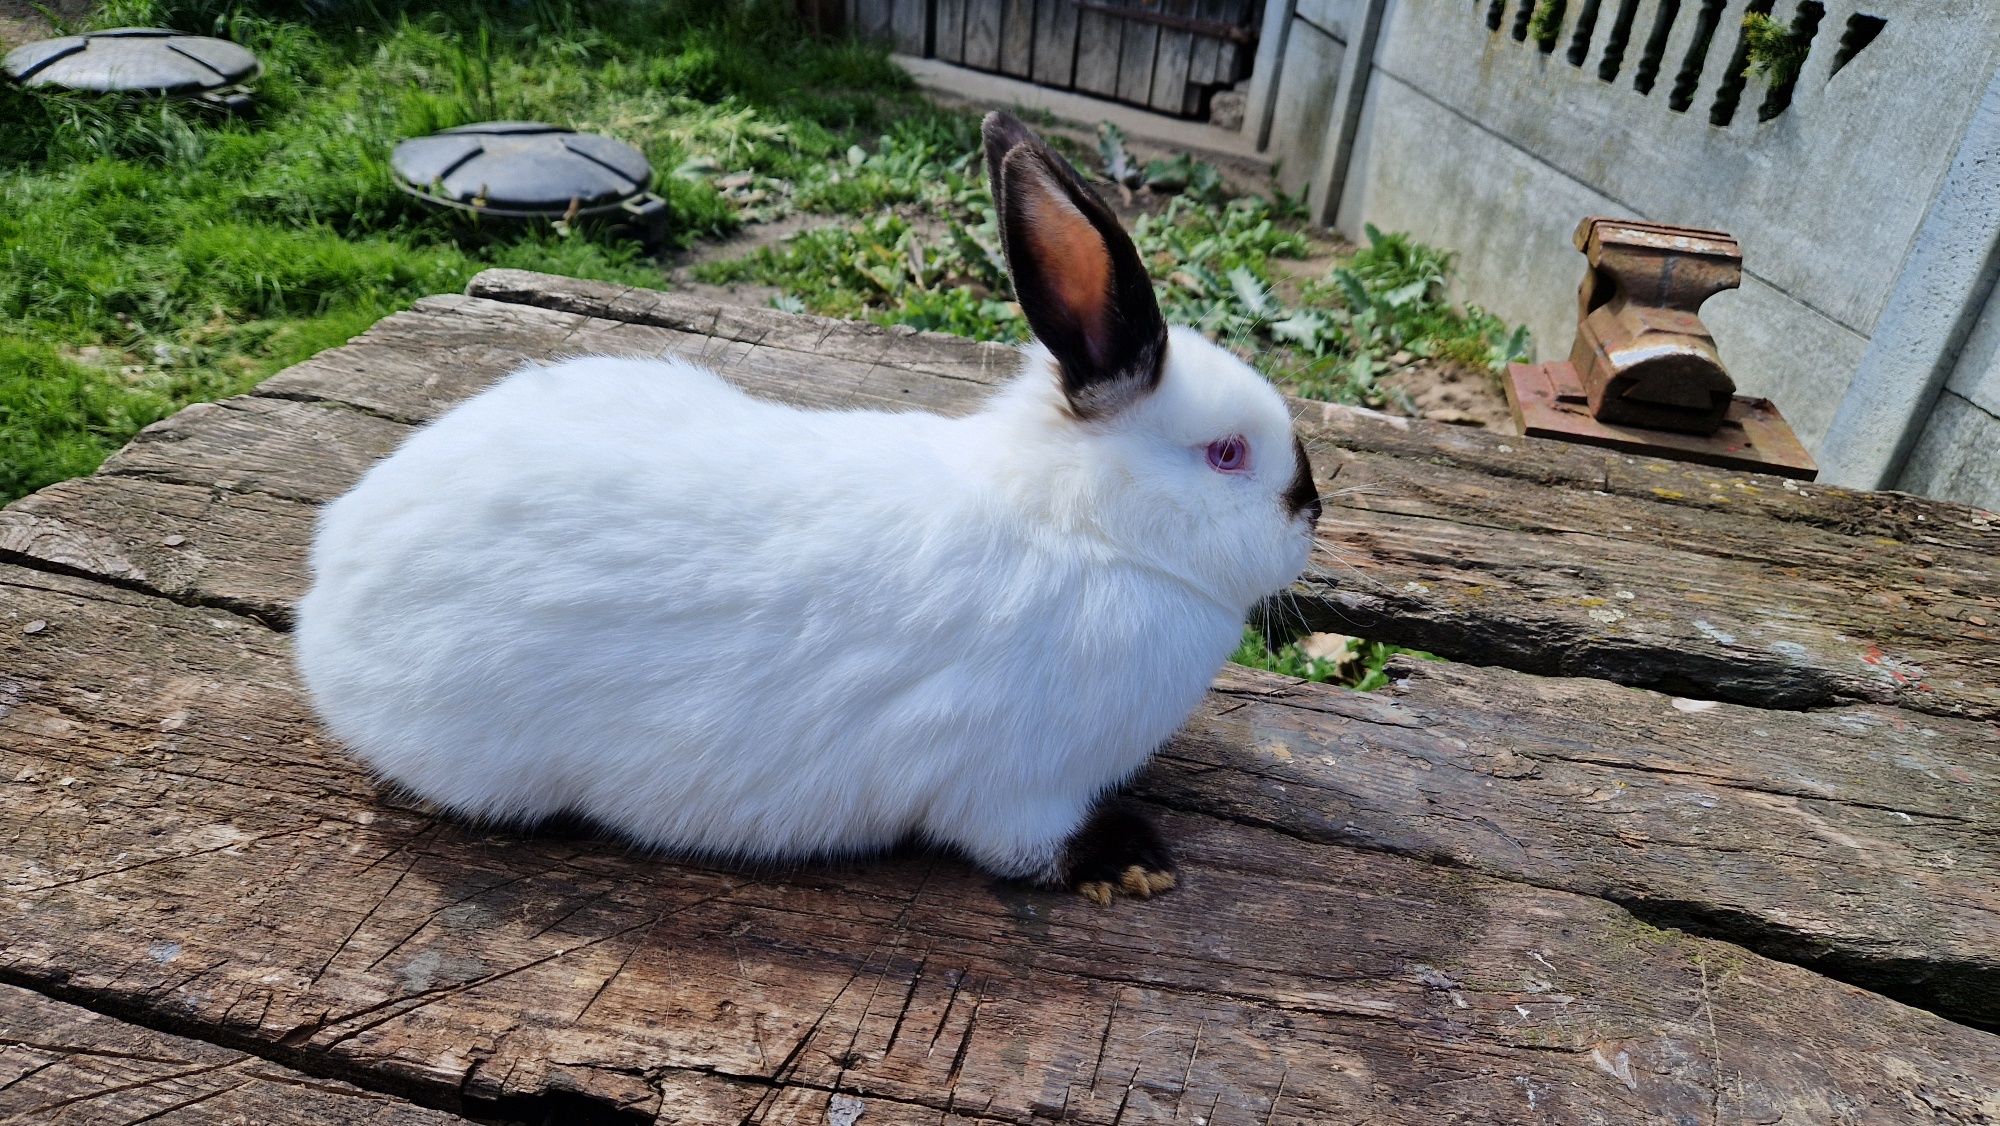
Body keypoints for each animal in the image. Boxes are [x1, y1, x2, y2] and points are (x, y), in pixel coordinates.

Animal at [296, 112, 1320, 908]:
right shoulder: (1016, 788)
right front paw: (1133, 862)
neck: (1086, 526)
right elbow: (1028, 848)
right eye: (1229, 454)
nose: (1309, 512)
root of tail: (326, 591)